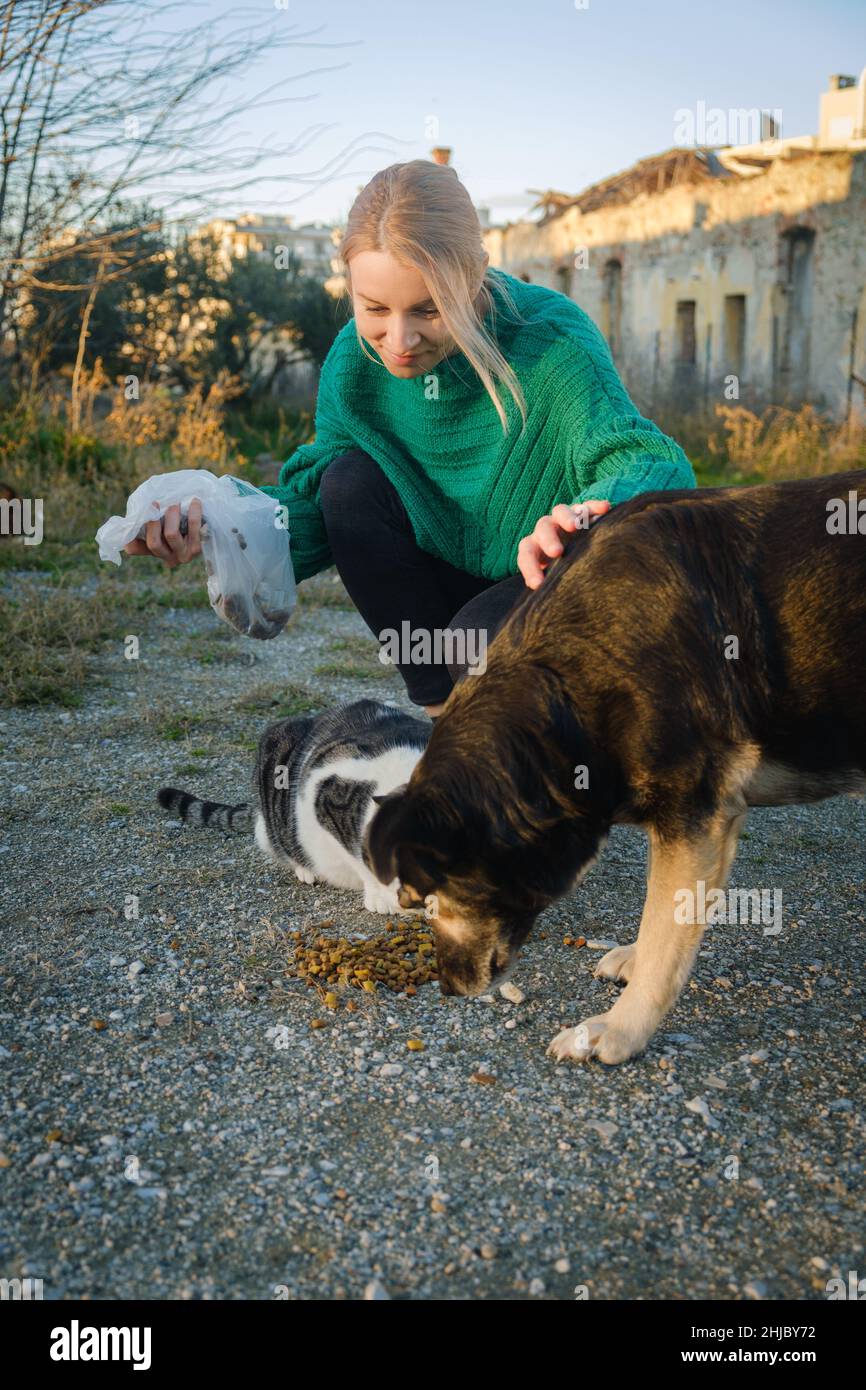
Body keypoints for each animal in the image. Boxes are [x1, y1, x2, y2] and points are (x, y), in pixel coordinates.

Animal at [366, 467, 866, 1061]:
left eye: (428, 901)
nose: (446, 989)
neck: (563, 684)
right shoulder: (695, 819)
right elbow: (668, 913)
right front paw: (634, 959)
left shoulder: (693, 813)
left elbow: (666, 926)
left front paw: (619, 1028)